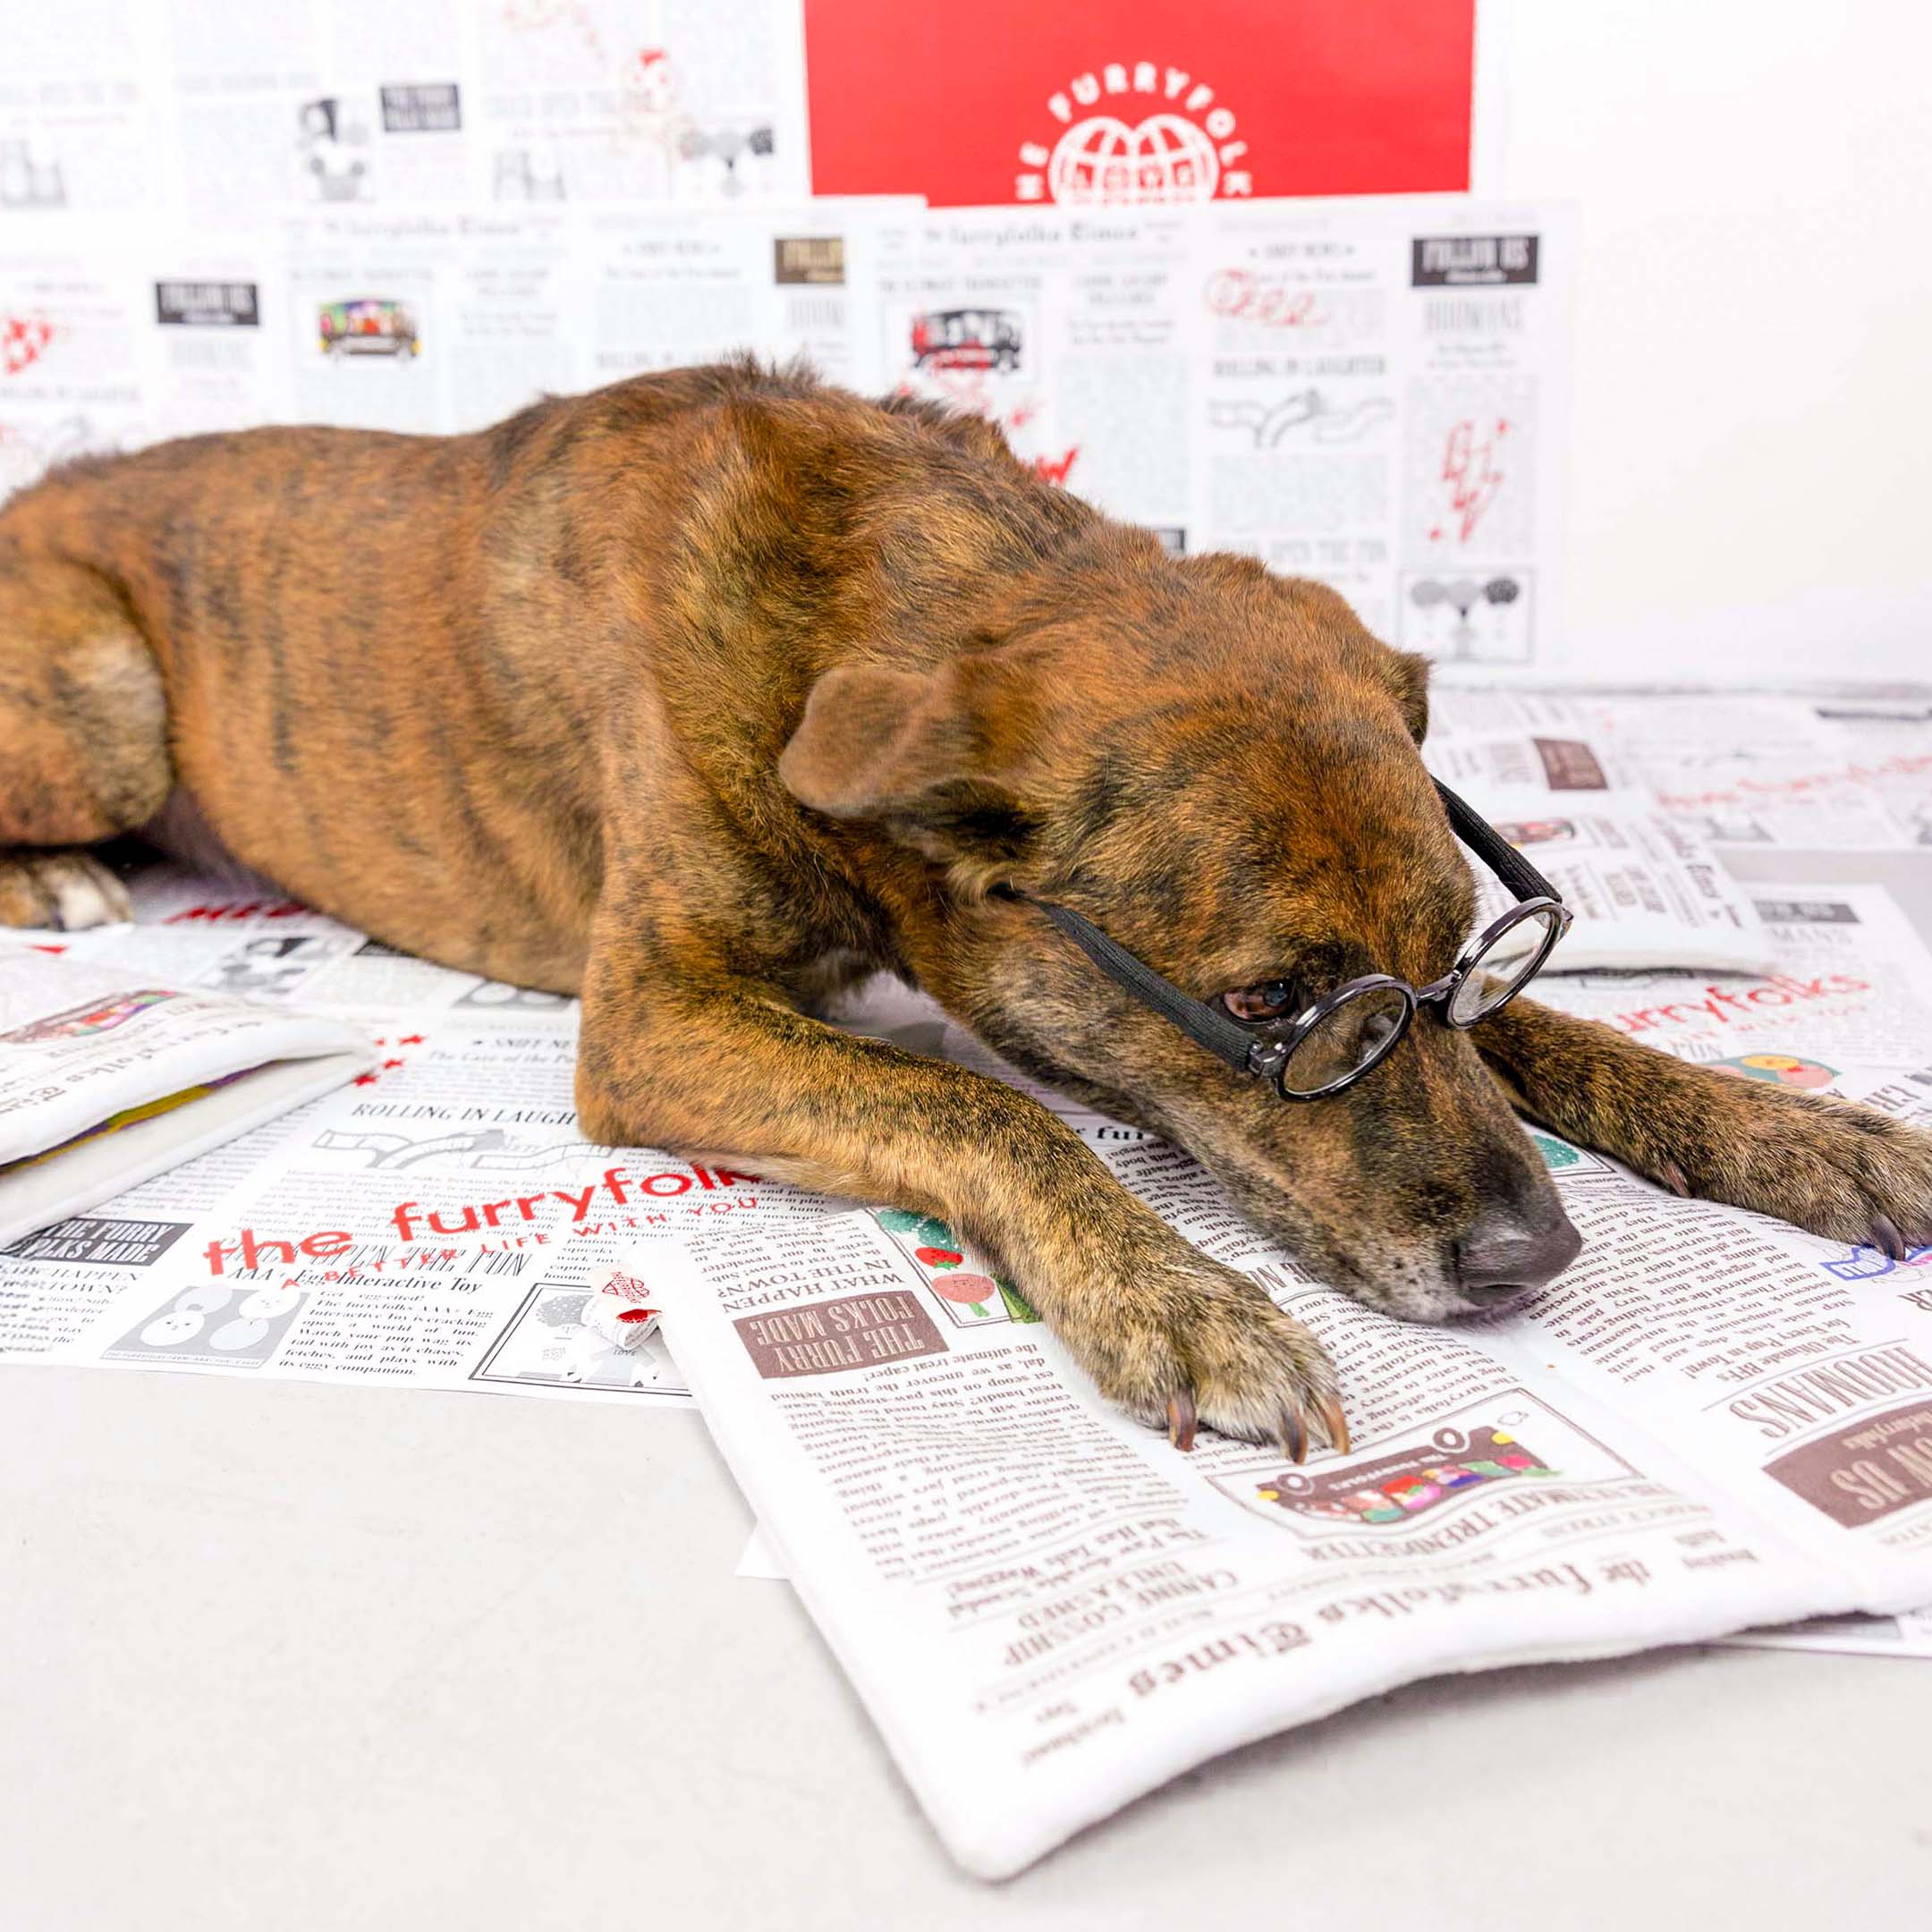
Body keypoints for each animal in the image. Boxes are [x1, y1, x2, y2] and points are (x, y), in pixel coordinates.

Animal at [4, 363, 1932, 1453]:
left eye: (1466, 956)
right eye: (1268, 1007)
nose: (1539, 1262)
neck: (866, 595)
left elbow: (1570, 1040)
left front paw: (1807, 1133)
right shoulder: (655, 1022)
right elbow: (978, 1105)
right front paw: (1179, 1302)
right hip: (110, 697)